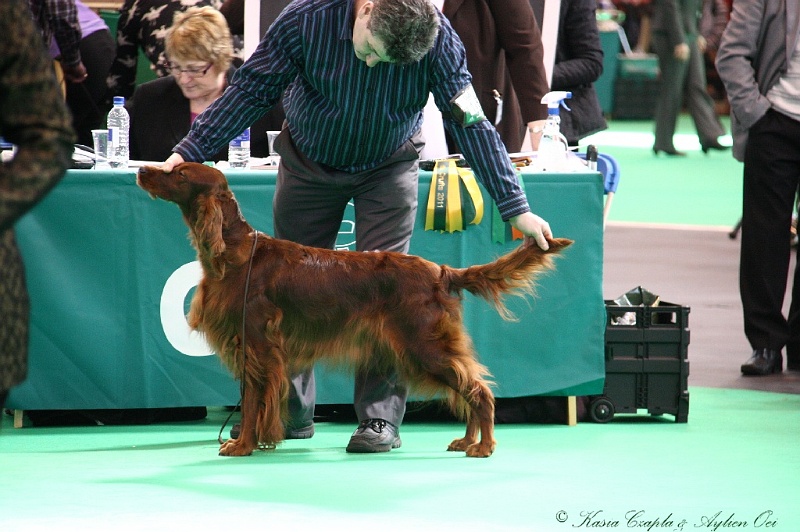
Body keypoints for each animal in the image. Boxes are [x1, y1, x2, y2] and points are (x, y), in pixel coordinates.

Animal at [141, 163, 572, 458]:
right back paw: (467, 440)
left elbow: (251, 404)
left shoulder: (257, 346)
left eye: (180, 174)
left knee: (478, 390)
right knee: (466, 388)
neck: (235, 253)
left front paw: (243, 445)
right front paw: (260, 441)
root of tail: (440, 271)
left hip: (423, 345)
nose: (144, 170)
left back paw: (483, 447)